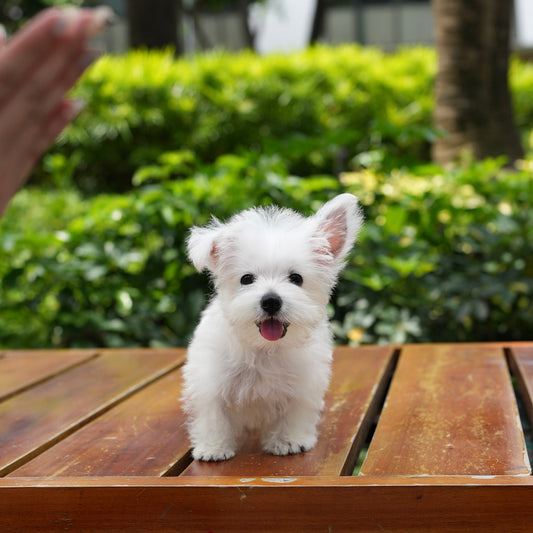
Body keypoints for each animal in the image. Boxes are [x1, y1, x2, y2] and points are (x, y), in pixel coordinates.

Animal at [182, 193, 362, 460]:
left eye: (296, 278)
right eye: (246, 279)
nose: (271, 301)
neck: (264, 349)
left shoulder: (302, 385)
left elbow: (293, 413)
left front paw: (288, 441)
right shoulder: (210, 381)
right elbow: (214, 415)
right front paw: (214, 447)